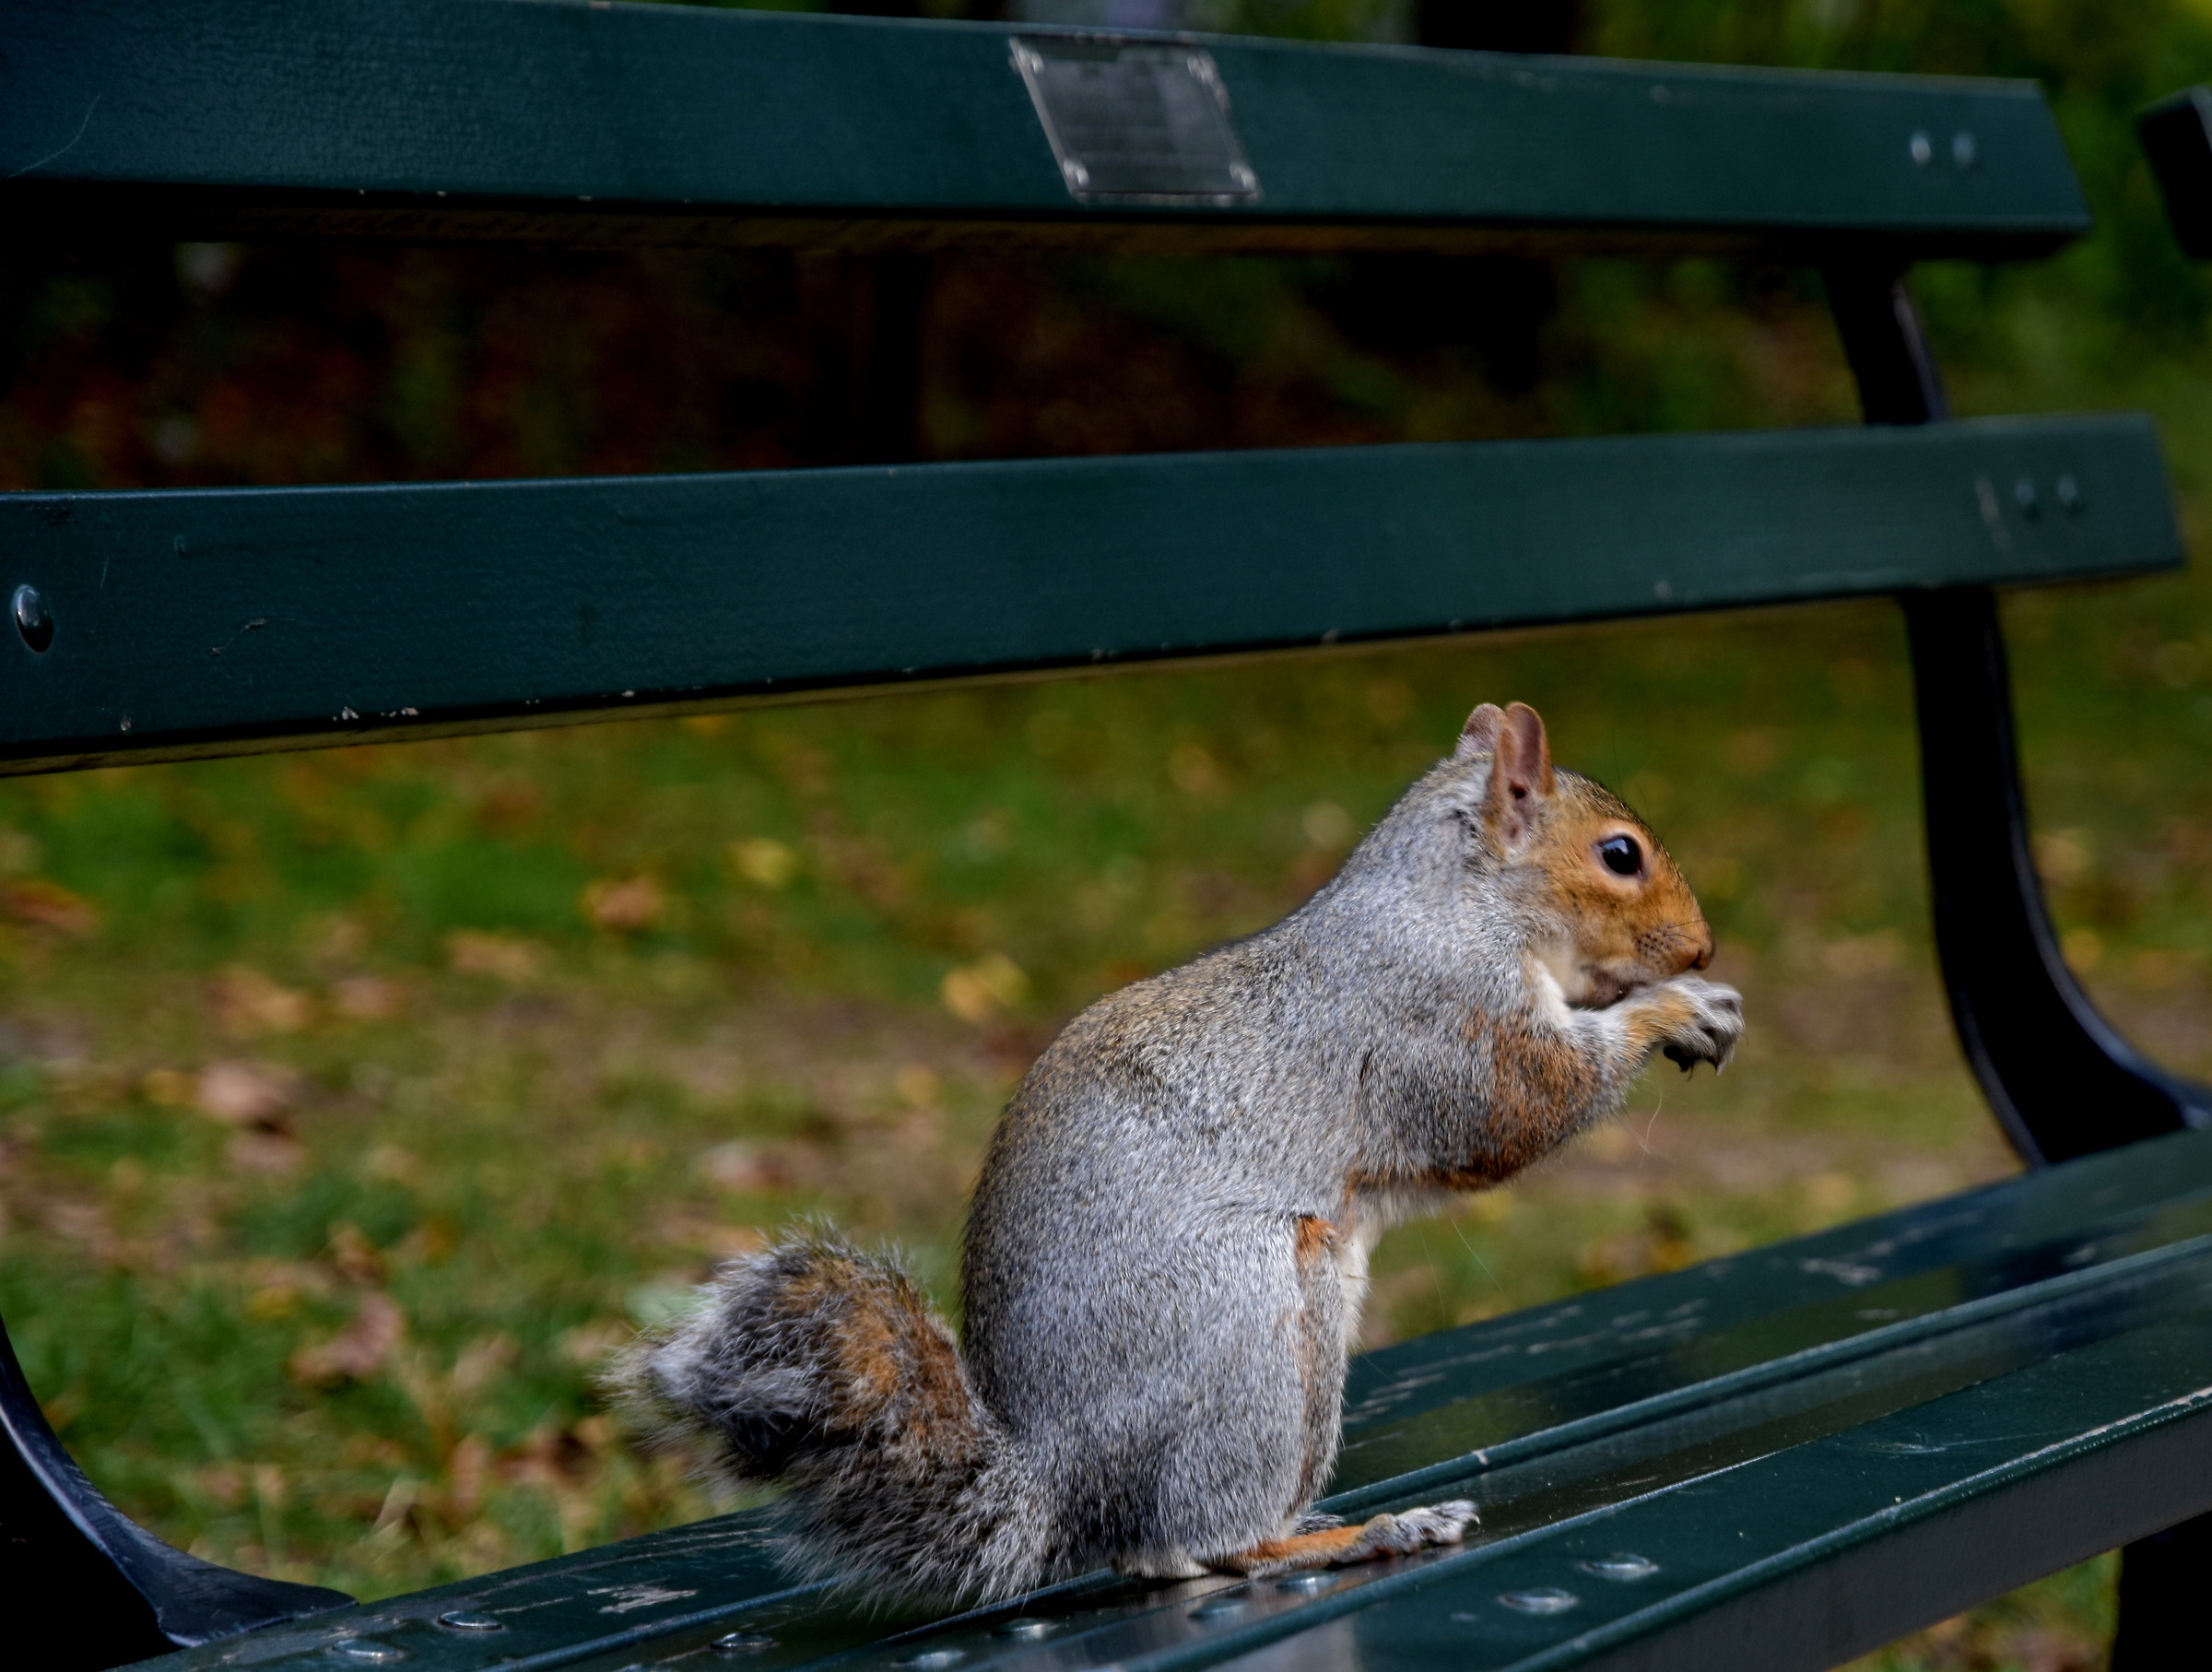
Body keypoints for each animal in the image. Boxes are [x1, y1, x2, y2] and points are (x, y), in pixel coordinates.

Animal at [621, 700, 1743, 1603]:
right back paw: (1357, 1533)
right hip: (1250, 1325)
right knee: (1199, 1545)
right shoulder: (1448, 1019)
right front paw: (1675, 1007)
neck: (1455, 899)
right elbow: (1530, 1103)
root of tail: (1066, 1488)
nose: (1701, 946)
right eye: (1621, 855)